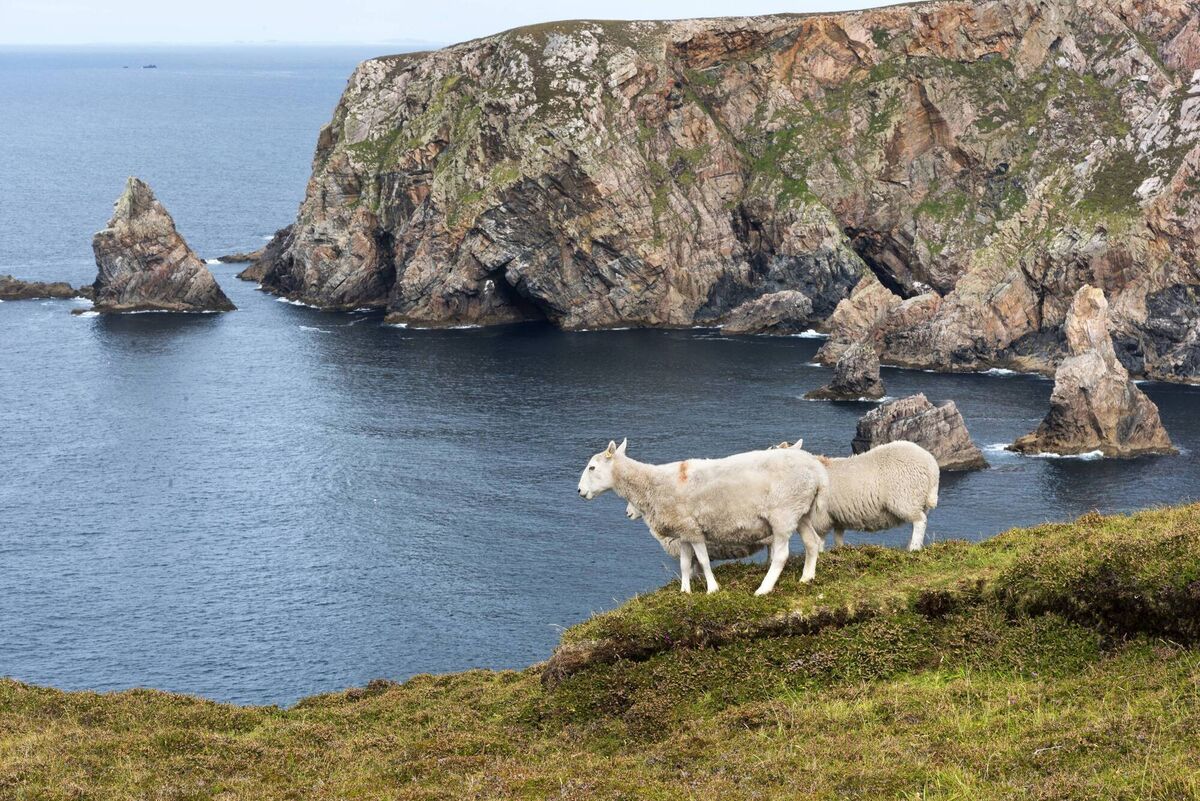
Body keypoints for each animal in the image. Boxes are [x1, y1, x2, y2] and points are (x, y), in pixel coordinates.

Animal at [578, 439, 828, 594]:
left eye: (592, 468)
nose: (579, 491)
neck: (653, 484)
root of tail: (817, 470)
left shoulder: (693, 530)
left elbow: (704, 560)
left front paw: (712, 589)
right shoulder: (683, 531)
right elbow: (685, 564)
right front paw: (685, 591)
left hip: (783, 514)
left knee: (782, 554)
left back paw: (763, 589)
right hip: (801, 511)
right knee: (812, 542)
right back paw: (807, 578)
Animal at [806, 441, 939, 552]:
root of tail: (932, 465)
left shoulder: (819, 516)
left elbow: (819, 539)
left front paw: (820, 555)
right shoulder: (837, 516)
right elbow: (838, 537)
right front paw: (840, 551)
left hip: (906, 498)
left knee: (920, 521)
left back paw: (913, 549)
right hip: (918, 501)